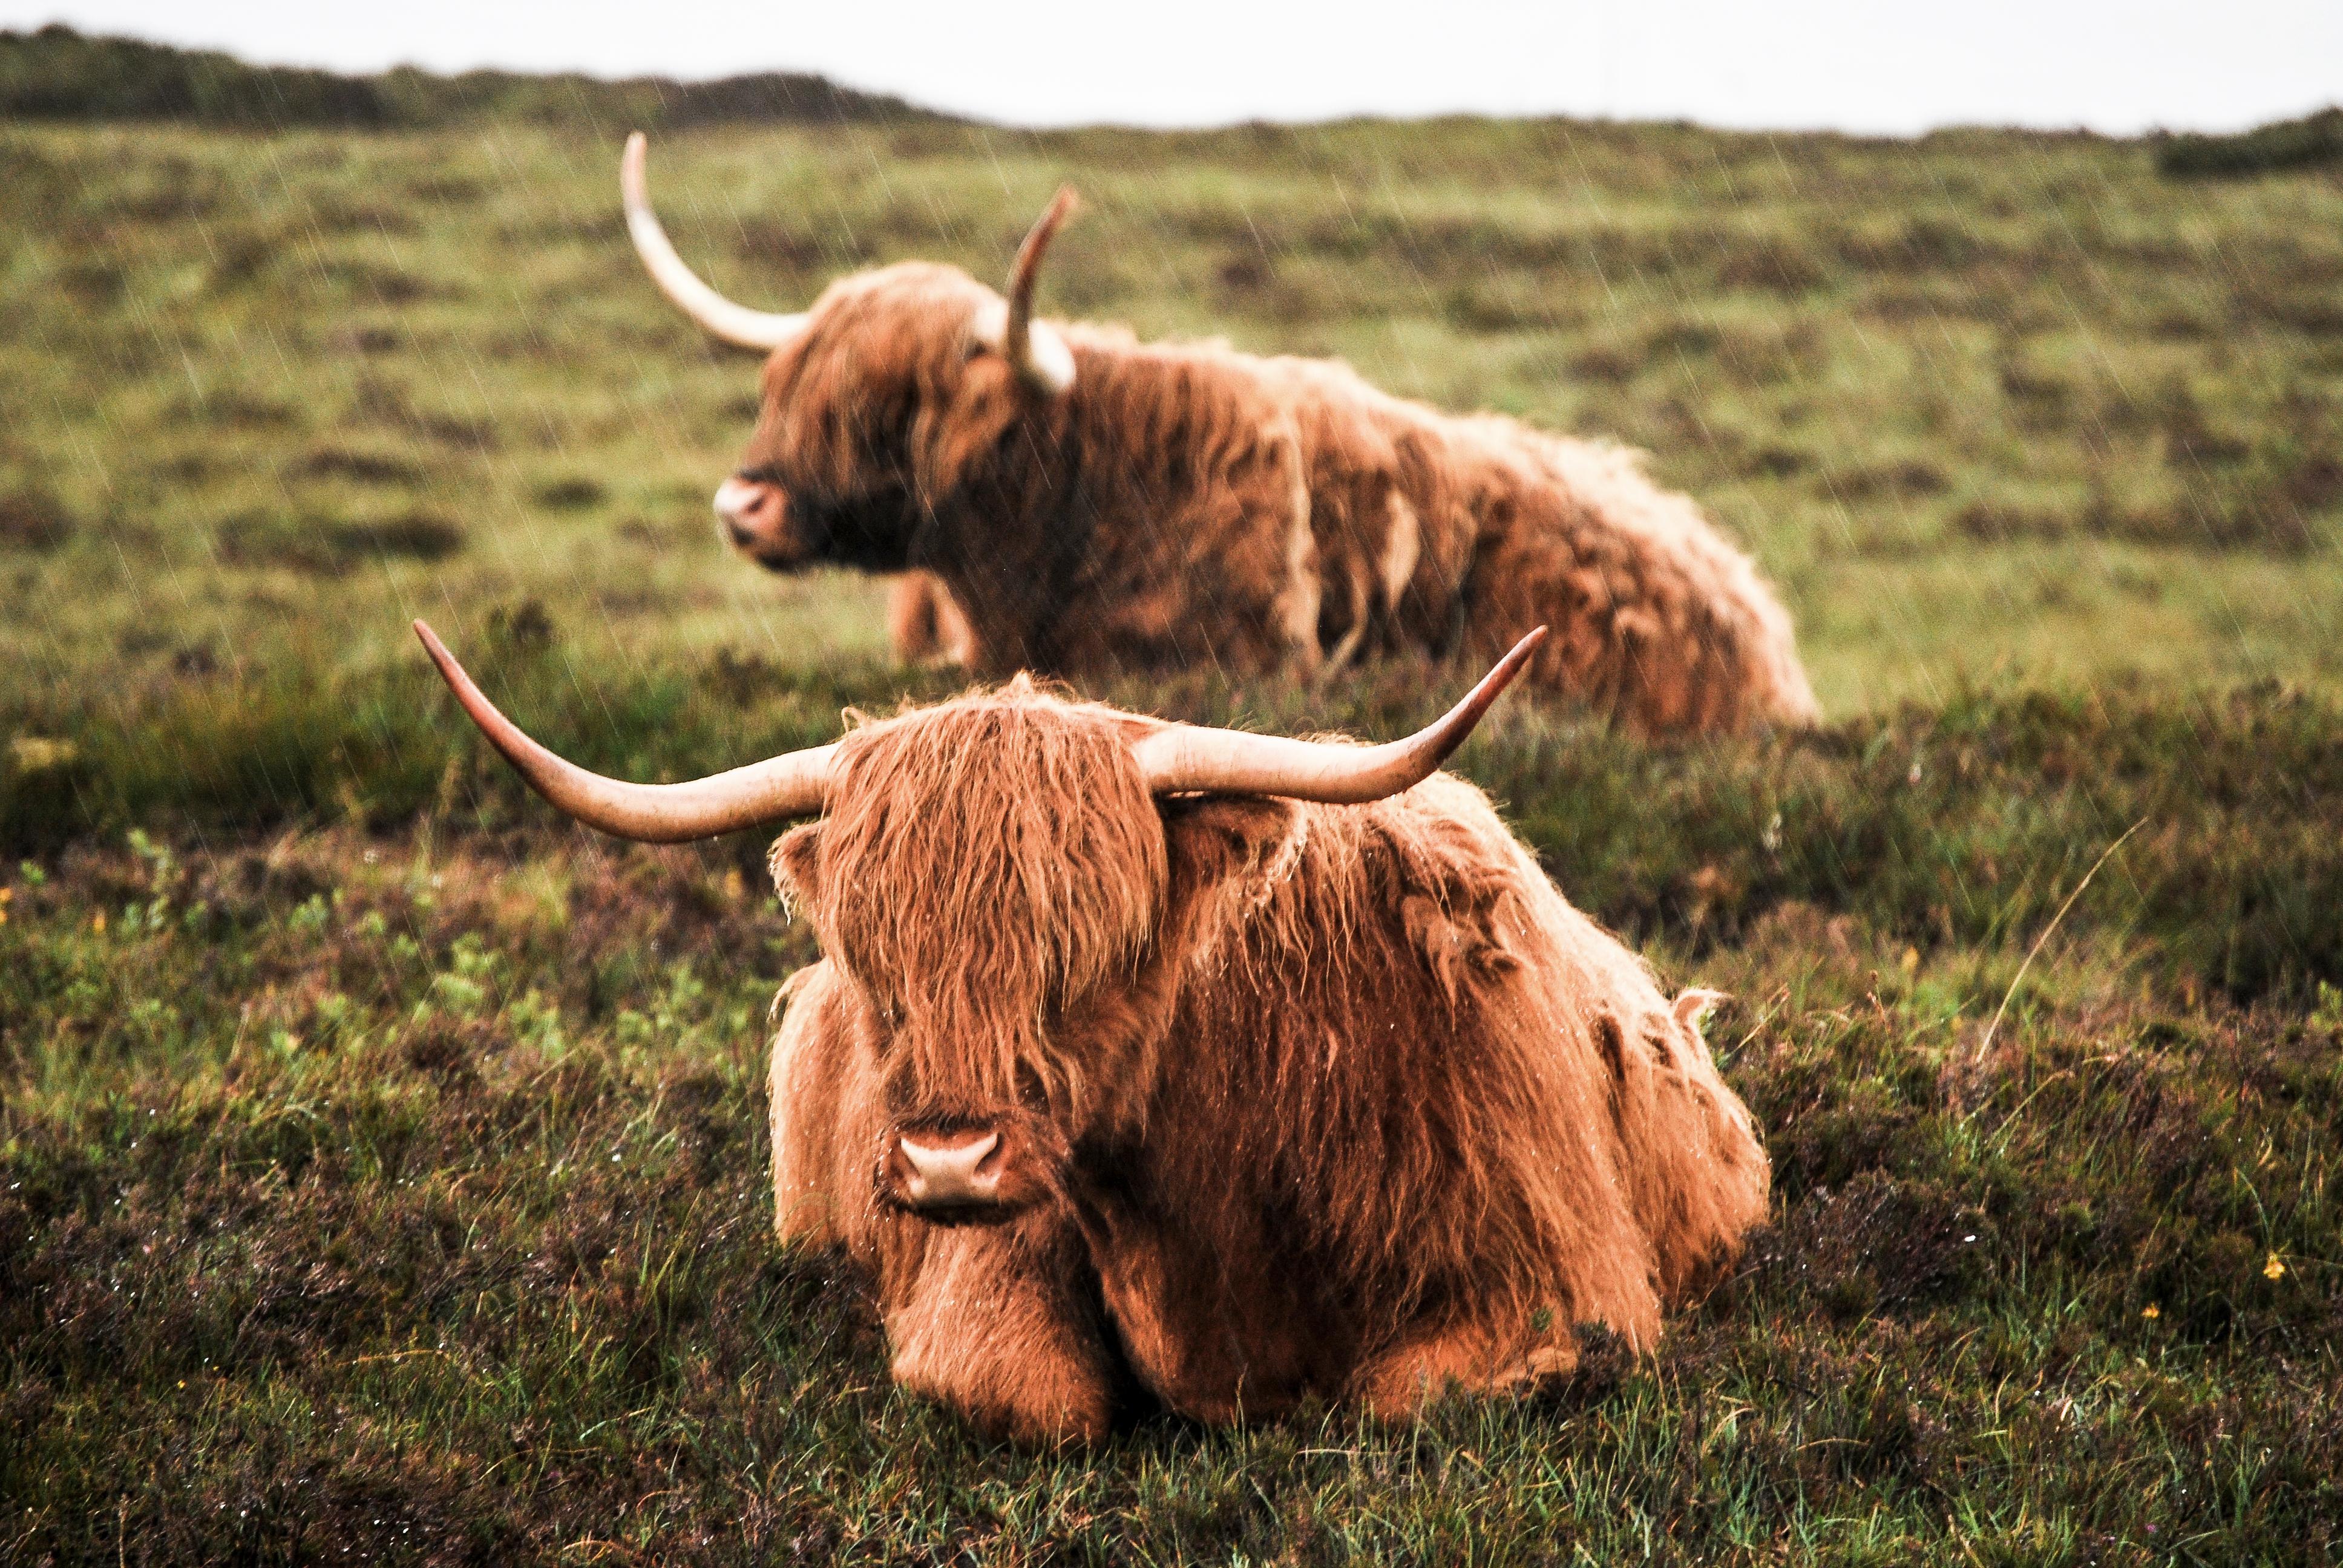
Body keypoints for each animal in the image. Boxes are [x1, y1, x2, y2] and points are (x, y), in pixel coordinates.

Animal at [415, 618, 1772, 1441]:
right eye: (880, 962)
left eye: (1082, 948)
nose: (947, 1161)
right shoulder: (988, 1272)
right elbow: (1031, 1397)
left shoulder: (1553, 1291)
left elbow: (1400, 1397)